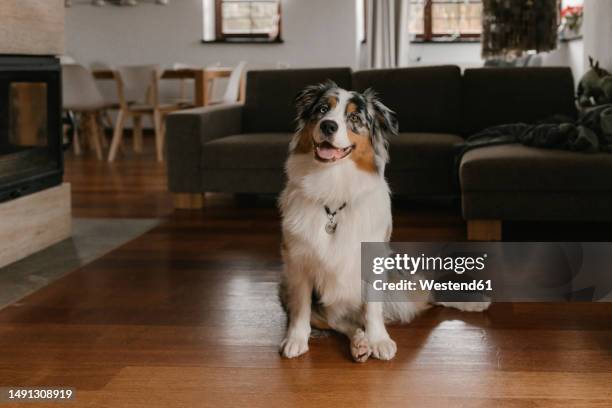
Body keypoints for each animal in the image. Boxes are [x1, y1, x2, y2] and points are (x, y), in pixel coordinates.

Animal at [278, 81, 488, 362]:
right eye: (322, 109)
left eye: (355, 118)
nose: (328, 126)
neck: (333, 190)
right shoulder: (298, 262)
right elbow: (301, 308)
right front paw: (296, 340)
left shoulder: (374, 258)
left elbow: (373, 309)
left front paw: (379, 340)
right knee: (340, 322)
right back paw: (359, 343)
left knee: (424, 294)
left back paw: (475, 302)